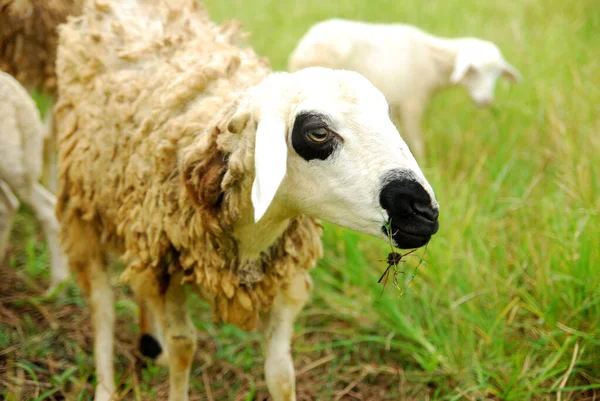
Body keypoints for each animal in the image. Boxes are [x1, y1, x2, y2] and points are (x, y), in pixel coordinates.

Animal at [55, 0, 440, 400]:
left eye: (388, 115)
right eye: (318, 133)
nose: (424, 212)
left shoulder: (281, 275)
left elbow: (281, 372)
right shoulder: (168, 261)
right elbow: (183, 346)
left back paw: (148, 344)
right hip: (83, 201)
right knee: (102, 304)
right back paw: (105, 385)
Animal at [288, 18, 524, 159]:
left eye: (496, 74)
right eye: (472, 70)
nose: (485, 101)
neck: (434, 62)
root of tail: (302, 48)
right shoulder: (413, 101)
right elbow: (416, 140)